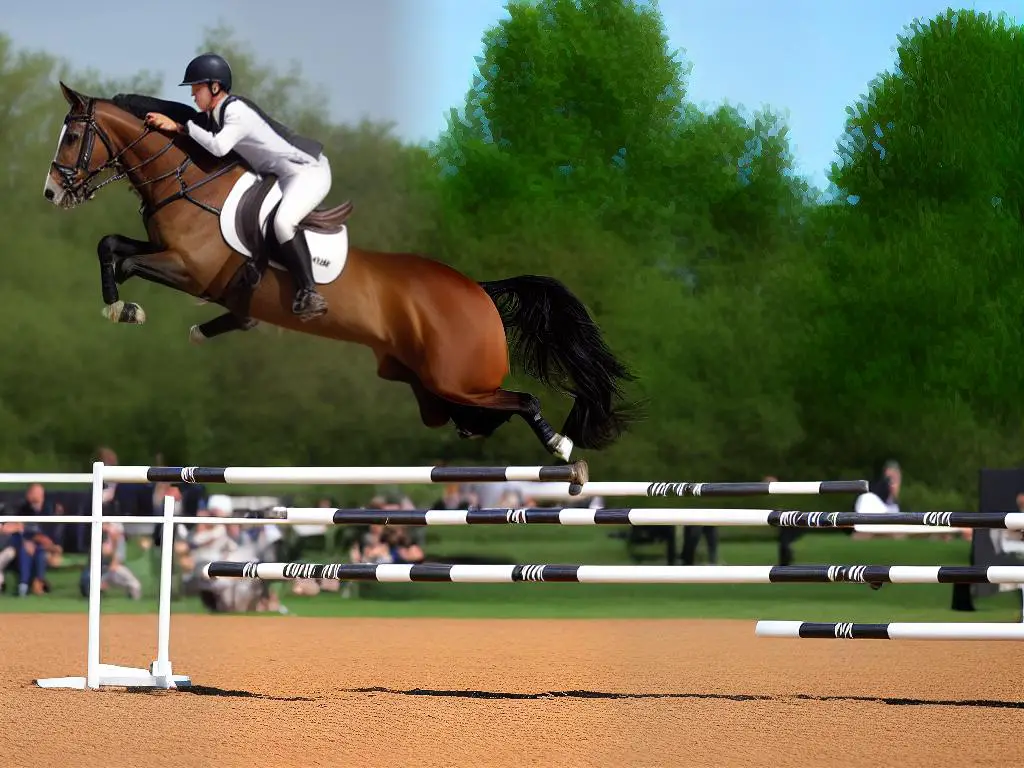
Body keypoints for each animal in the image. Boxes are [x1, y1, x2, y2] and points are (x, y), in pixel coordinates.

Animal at [44, 83, 643, 468]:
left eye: (71, 138)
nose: (52, 192)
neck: (191, 181)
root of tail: (478, 291)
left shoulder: (191, 270)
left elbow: (126, 260)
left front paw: (124, 307)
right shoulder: (168, 253)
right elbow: (111, 246)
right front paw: (127, 305)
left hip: (456, 378)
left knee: (522, 401)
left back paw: (562, 449)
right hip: (427, 386)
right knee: (476, 417)